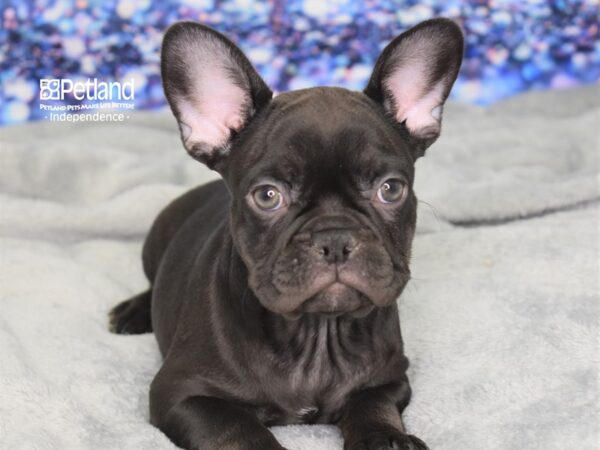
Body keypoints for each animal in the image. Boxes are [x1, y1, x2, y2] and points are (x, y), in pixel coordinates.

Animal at [110, 18, 462, 450]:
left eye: (391, 189)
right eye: (267, 195)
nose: (334, 238)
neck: (316, 333)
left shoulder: (390, 379)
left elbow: (372, 405)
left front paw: (387, 438)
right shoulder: (180, 393)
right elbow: (240, 429)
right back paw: (131, 312)